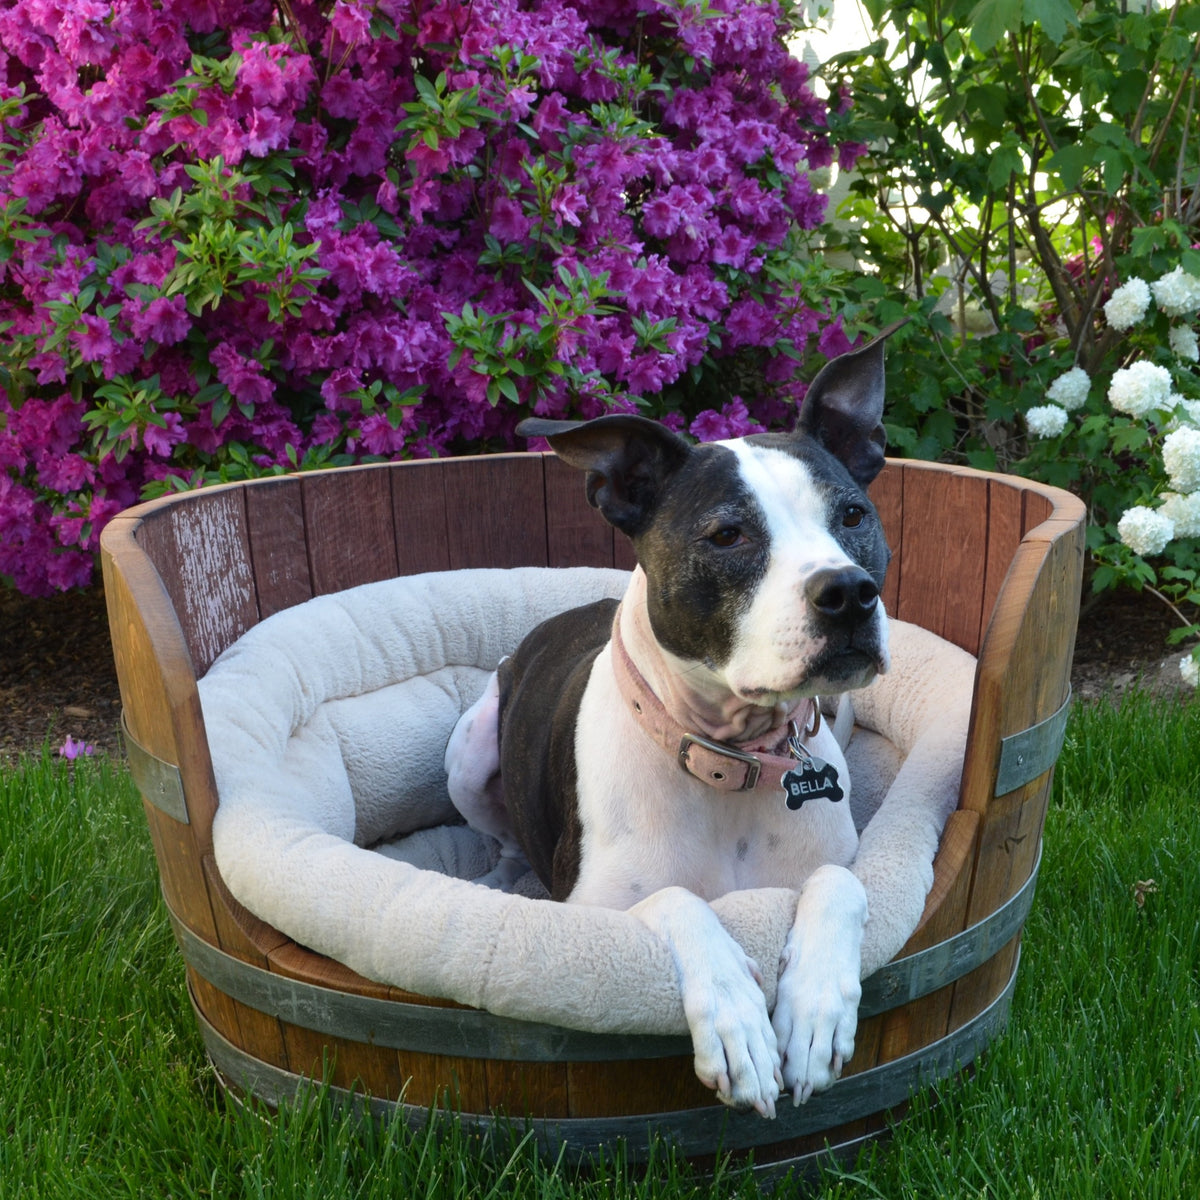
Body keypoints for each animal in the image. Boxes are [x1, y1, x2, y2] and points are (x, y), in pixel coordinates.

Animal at [451, 326, 902, 1113]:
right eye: (727, 535)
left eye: (852, 515)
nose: (848, 591)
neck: (734, 758)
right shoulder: (594, 905)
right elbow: (678, 900)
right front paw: (737, 1025)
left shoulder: (836, 857)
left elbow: (838, 883)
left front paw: (815, 1009)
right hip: (470, 756)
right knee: (499, 836)